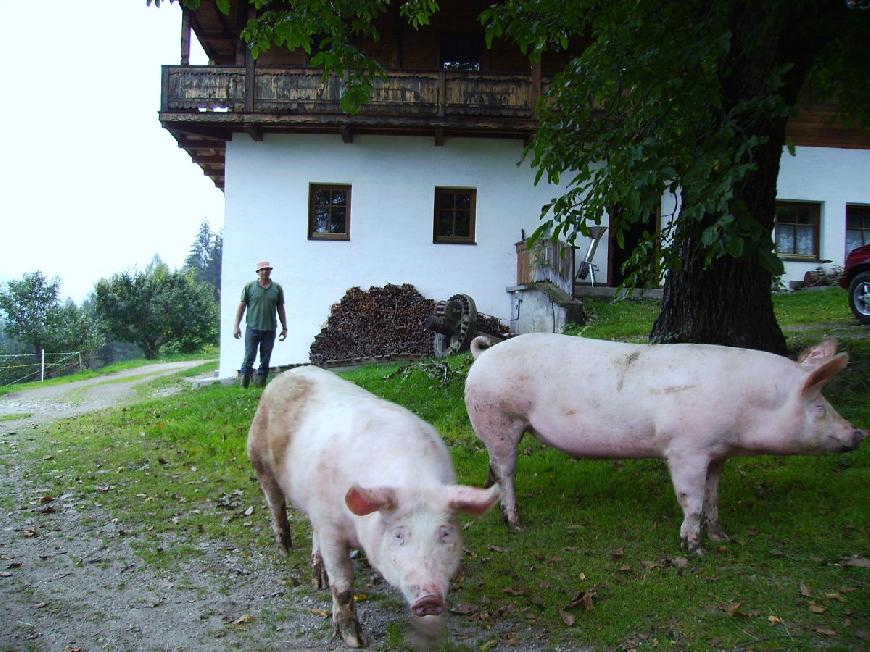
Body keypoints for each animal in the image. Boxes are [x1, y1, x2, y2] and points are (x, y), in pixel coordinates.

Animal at [249, 366, 500, 648]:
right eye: (399, 534)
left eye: (445, 533)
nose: (429, 599)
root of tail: (290, 373)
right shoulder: (330, 526)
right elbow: (342, 584)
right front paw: (354, 640)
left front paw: (427, 637)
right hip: (259, 460)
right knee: (275, 504)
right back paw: (285, 550)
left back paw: (317, 580)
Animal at [464, 334, 864, 552]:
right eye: (819, 406)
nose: (859, 433)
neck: (748, 409)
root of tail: (484, 354)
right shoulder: (687, 449)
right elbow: (692, 499)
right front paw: (694, 549)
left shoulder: (717, 454)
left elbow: (713, 495)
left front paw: (722, 537)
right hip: (499, 419)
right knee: (506, 470)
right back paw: (516, 524)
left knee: (494, 468)